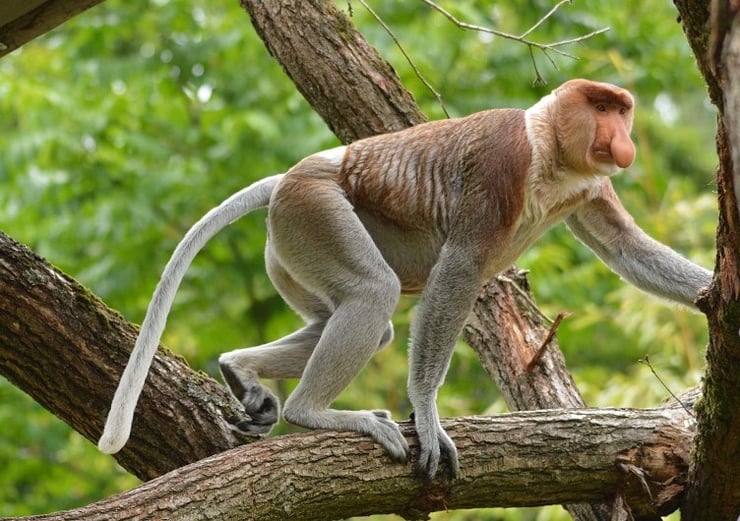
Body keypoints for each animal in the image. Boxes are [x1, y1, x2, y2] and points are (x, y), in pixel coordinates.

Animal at [98, 79, 712, 481]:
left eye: (622, 110)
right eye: (601, 106)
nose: (622, 137)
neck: (548, 146)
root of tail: (293, 175)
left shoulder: (587, 187)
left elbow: (624, 246)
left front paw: (711, 294)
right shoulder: (501, 161)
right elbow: (459, 270)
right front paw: (427, 412)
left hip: (290, 246)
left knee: (352, 320)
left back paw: (239, 369)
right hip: (314, 212)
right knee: (375, 295)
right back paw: (311, 412)